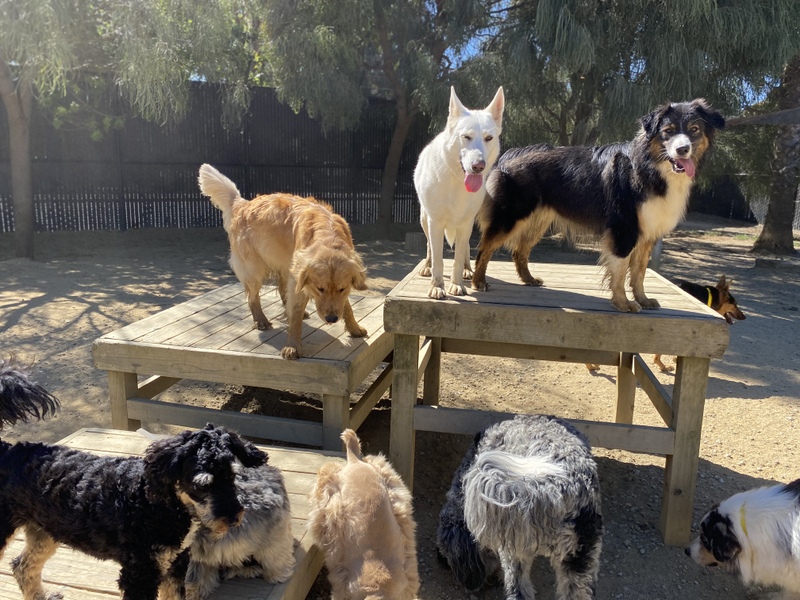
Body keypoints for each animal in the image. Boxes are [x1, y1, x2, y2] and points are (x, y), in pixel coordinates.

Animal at [0, 364, 268, 600]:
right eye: (203, 485)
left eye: (233, 475)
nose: (233, 518)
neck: (157, 504)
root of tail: (6, 450)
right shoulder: (140, 573)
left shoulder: (174, 564)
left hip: (44, 531)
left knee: (22, 566)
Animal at [198, 164, 368, 358]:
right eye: (320, 289)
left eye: (342, 288)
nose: (331, 319)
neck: (327, 233)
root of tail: (243, 204)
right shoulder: (300, 280)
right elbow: (295, 313)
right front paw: (292, 346)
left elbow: (346, 306)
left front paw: (354, 328)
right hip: (254, 269)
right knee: (253, 297)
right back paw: (261, 320)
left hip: (286, 265)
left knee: (281, 289)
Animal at [438, 414, 600, 600]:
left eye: (447, 554)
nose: (439, 559)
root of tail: (549, 489)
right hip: (580, 559)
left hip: (514, 554)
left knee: (518, 591)